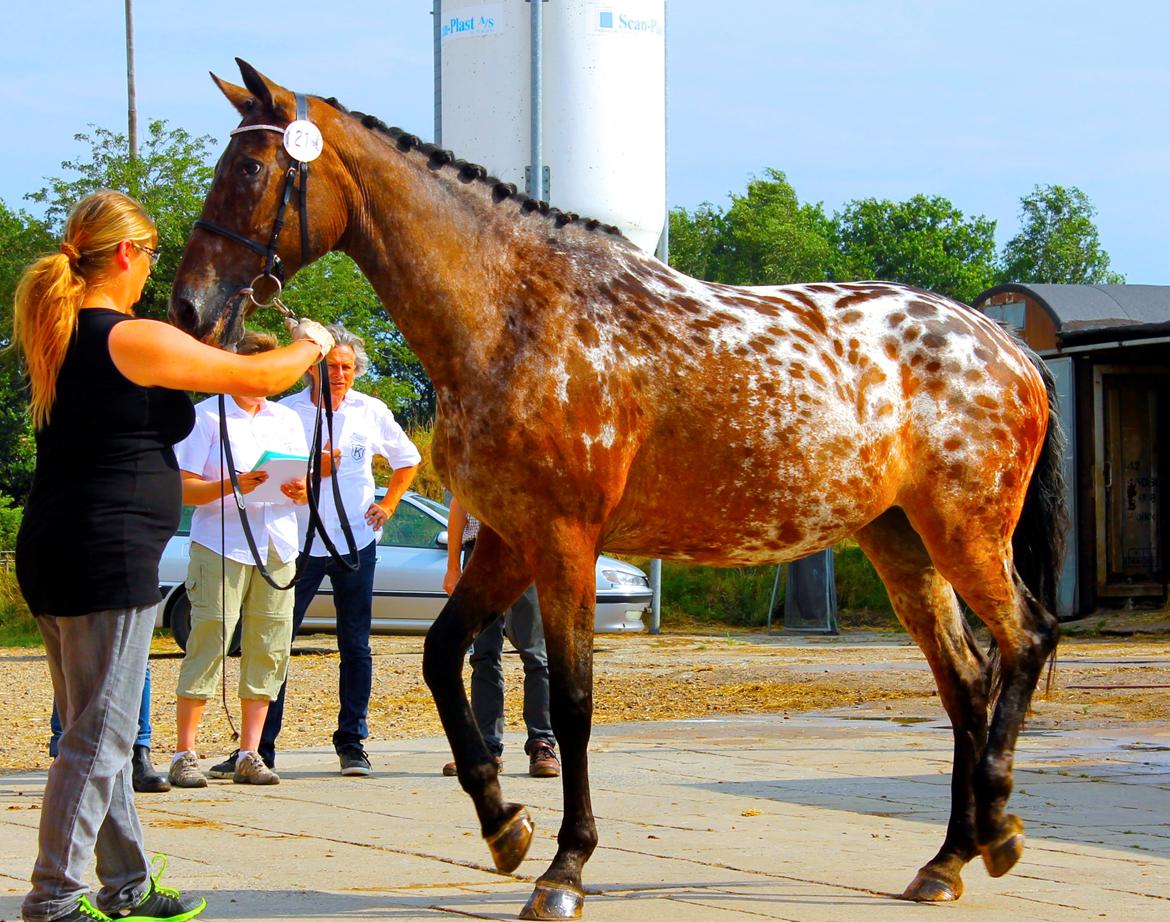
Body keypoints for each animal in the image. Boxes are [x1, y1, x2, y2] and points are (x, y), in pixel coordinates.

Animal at [173, 61, 1071, 917]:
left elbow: (571, 700)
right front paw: (504, 827)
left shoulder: (565, 541)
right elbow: (439, 658)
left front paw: (564, 869)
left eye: (250, 168)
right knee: (964, 681)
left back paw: (995, 824)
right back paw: (949, 859)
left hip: (964, 531)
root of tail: (1009, 348)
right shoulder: (511, 540)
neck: (514, 314)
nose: (189, 309)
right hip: (903, 543)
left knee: (1027, 638)